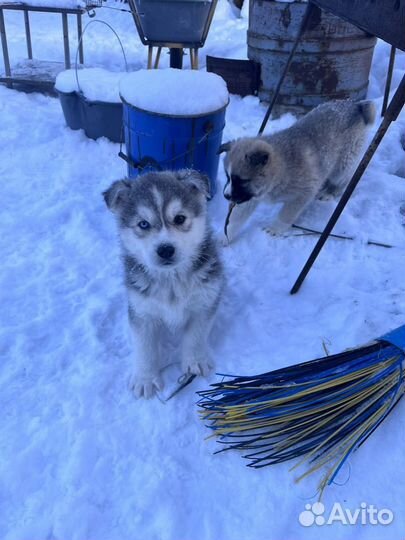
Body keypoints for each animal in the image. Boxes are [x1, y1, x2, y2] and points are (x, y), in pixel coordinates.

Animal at [104, 171, 223, 398]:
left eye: (179, 218)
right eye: (143, 224)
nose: (165, 250)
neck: (171, 280)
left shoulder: (204, 301)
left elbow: (196, 336)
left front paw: (195, 361)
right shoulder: (142, 311)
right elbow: (145, 348)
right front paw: (145, 378)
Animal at [219, 98, 374, 240]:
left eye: (243, 180)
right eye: (228, 177)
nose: (226, 196)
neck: (281, 170)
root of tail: (355, 105)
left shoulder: (303, 193)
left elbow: (286, 214)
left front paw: (275, 229)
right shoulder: (249, 197)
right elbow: (236, 219)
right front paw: (225, 238)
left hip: (344, 164)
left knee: (344, 178)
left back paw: (330, 193)